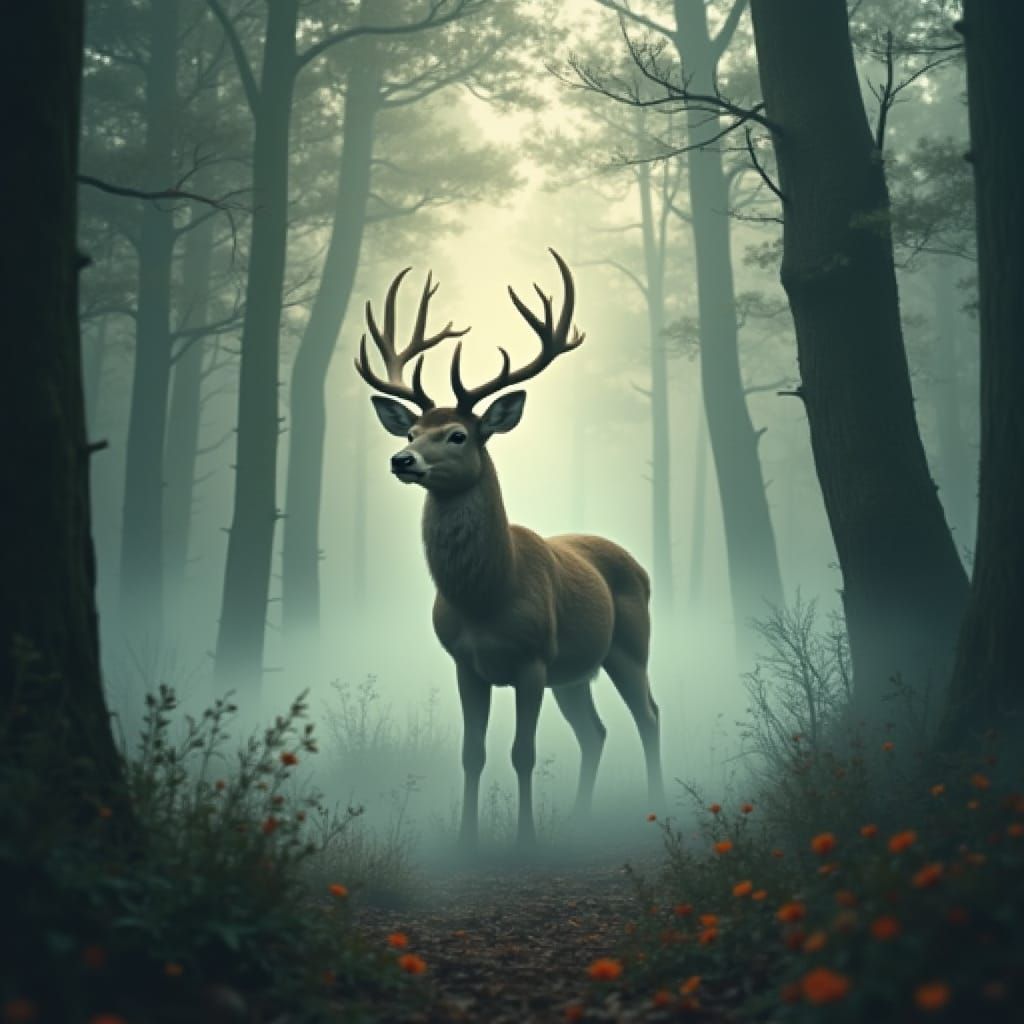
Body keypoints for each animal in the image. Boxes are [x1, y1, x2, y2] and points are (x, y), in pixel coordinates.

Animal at [354, 249, 664, 846]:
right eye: (410, 434)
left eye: (458, 435)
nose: (402, 461)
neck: (488, 597)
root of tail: (637, 565)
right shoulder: (465, 663)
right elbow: (471, 754)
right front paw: (467, 839)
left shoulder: (532, 659)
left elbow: (524, 753)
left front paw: (525, 838)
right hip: (576, 671)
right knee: (595, 732)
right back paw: (579, 821)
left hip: (629, 646)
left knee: (649, 716)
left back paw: (656, 809)